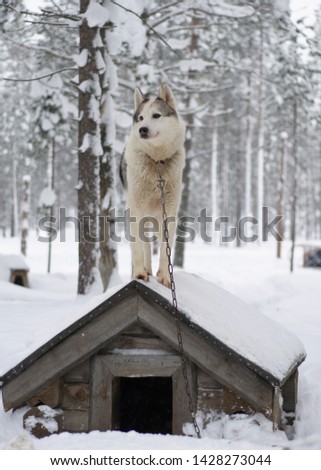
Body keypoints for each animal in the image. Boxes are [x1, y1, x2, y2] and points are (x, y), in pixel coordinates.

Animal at [120, 83, 185, 286]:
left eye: (156, 115)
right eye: (140, 118)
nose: (142, 129)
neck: (157, 163)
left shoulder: (169, 212)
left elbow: (165, 250)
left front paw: (165, 277)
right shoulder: (136, 210)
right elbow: (138, 248)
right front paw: (140, 273)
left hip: (156, 218)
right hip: (141, 216)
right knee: (145, 245)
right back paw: (146, 270)